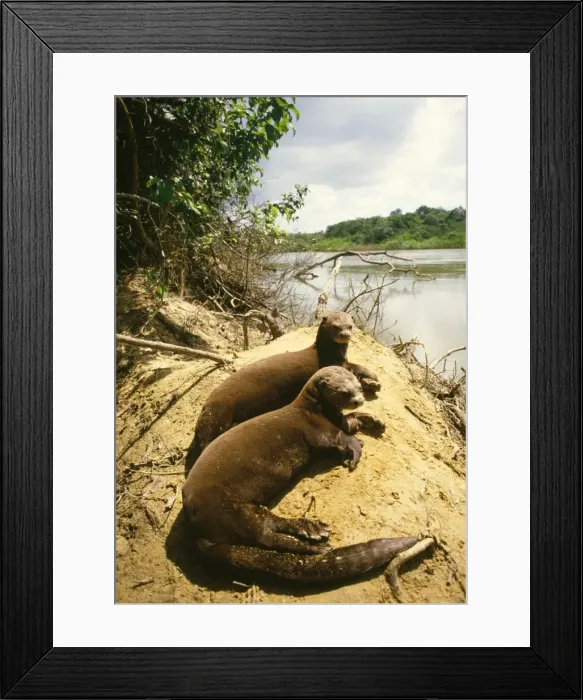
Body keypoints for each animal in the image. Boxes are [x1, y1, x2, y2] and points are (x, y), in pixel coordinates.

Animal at [182, 367, 416, 582]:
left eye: (359, 387)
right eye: (344, 392)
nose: (359, 400)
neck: (314, 410)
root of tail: (193, 523)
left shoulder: (337, 420)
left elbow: (350, 421)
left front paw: (373, 420)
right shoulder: (317, 429)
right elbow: (340, 437)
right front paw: (355, 448)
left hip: (245, 509)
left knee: (271, 524)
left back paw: (311, 530)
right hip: (227, 509)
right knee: (265, 537)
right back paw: (313, 544)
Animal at [185, 311, 381, 475]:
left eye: (350, 326)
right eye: (335, 326)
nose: (345, 335)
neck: (328, 353)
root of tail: (206, 405)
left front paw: (372, 385)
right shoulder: (337, 364)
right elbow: (356, 367)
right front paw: (372, 379)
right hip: (220, 412)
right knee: (207, 441)